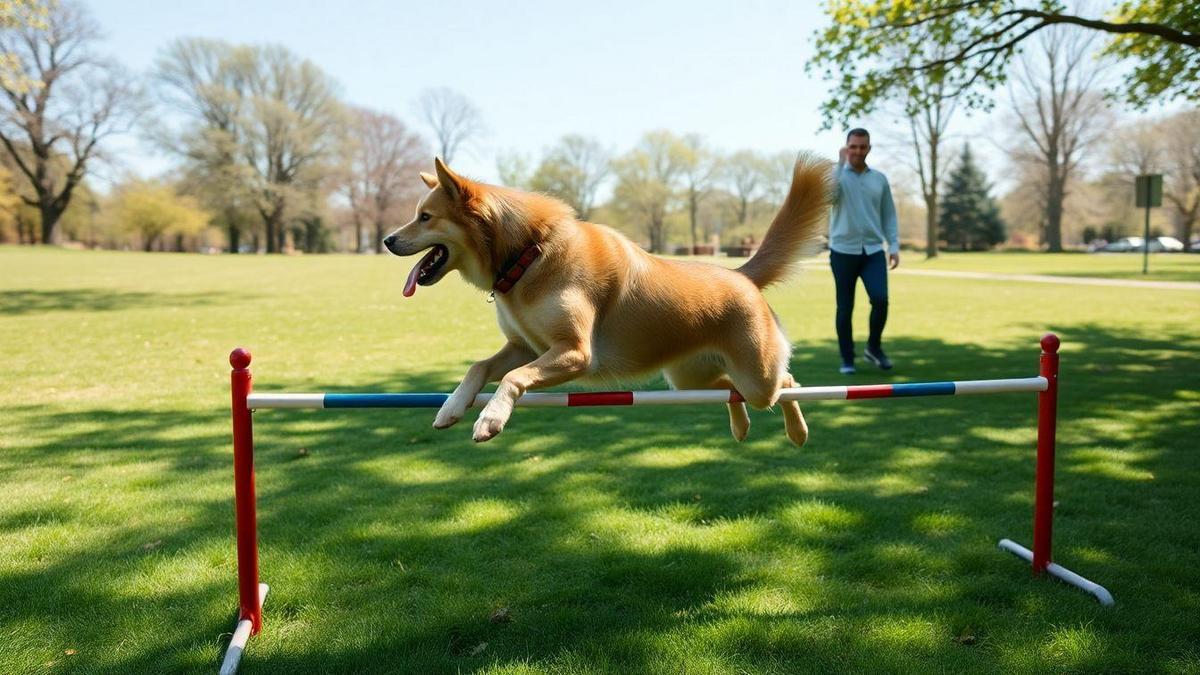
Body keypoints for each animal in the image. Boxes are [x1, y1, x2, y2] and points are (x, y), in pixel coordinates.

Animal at [386, 154, 835, 444]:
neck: (528, 255)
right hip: (689, 378)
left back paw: (798, 432)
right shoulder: (525, 346)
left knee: (787, 384)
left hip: (757, 376)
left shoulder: (575, 351)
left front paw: (490, 418)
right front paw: (451, 407)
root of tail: (741, 275)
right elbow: (479, 367)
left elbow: (513, 378)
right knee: (731, 390)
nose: (388, 240)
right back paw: (741, 428)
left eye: (425, 217)